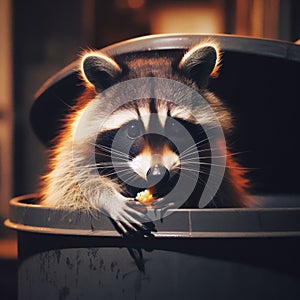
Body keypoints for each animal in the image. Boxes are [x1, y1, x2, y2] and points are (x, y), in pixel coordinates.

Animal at [38, 41, 252, 234]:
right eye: (133, 130)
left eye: (174, 127)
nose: (158, 174)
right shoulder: (77, 146)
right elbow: (72, 182)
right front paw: (109, 197)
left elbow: (214, 182)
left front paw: (183, 190)